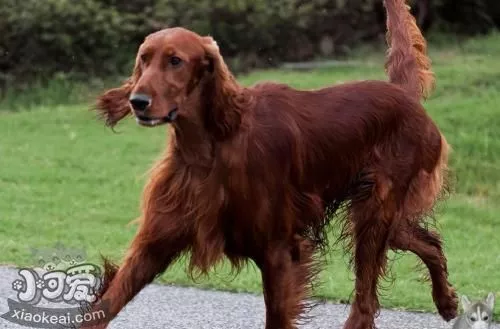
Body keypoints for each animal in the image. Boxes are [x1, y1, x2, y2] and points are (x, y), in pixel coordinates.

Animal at [87, 1, 458, 326]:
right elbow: (105, 305)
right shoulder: (156, 241)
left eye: (175, 60)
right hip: (382, 215)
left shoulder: (280, 251)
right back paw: (447, 303)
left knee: (366, 302)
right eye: (143, 59)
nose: (137, 101)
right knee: (427, 243)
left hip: (374, 213)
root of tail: (404, 95)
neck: (213, 145)